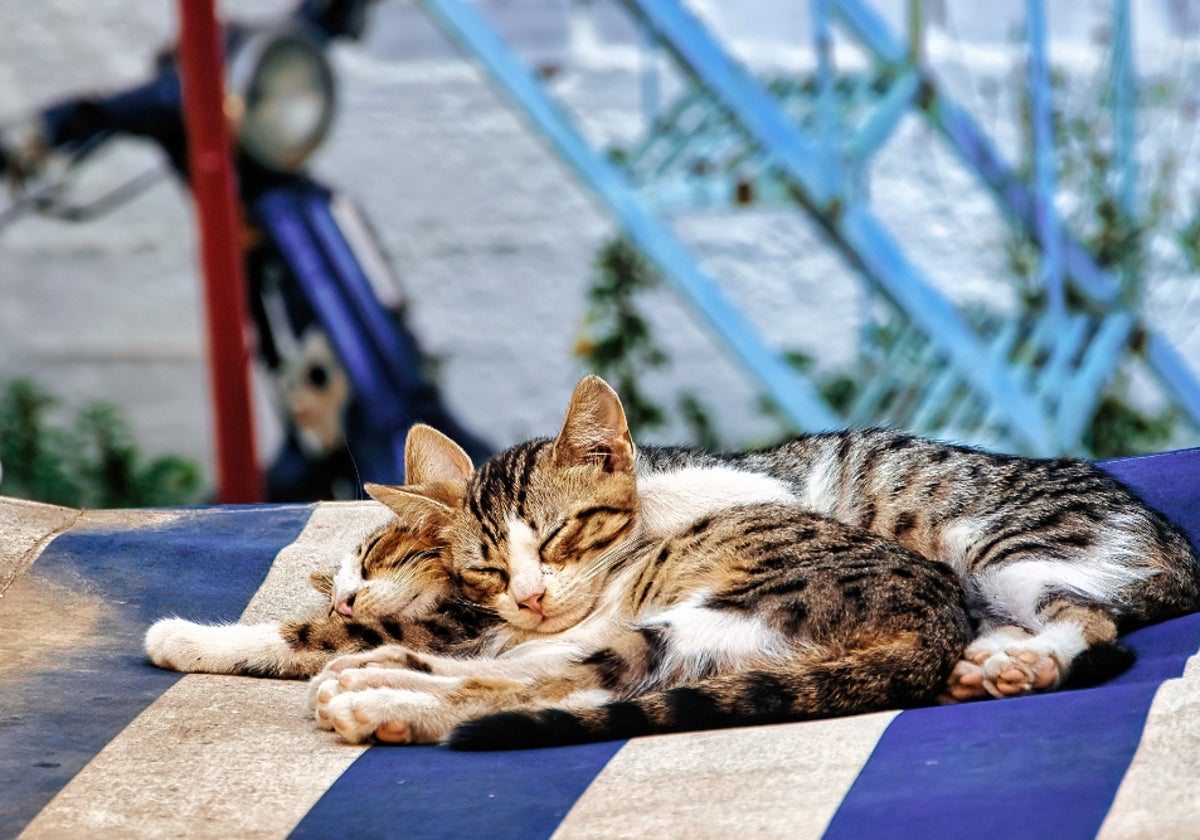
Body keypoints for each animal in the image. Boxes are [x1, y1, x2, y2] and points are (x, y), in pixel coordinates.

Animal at [142, 429, 494, 681]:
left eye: (372, 555)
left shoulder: (454, 628)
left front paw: (184, 636)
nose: (343, 604)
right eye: (331, 606)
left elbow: (312, 635)